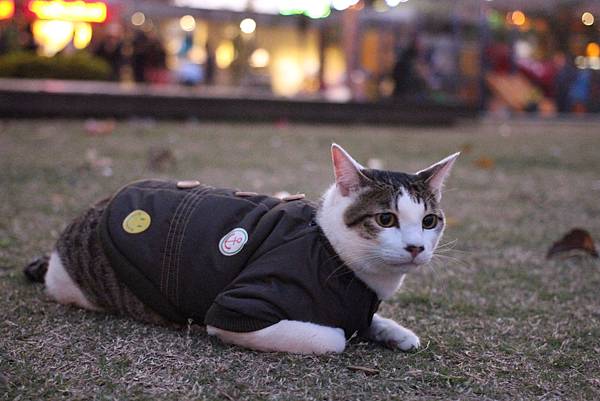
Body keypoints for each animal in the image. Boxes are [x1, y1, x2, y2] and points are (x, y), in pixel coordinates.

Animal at [24, 143, 460, 354]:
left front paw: (393, 331)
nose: (416, 248)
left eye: (429, 221)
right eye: (385, 219)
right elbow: (334, 337)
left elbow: (366, 321)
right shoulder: (236, 309)